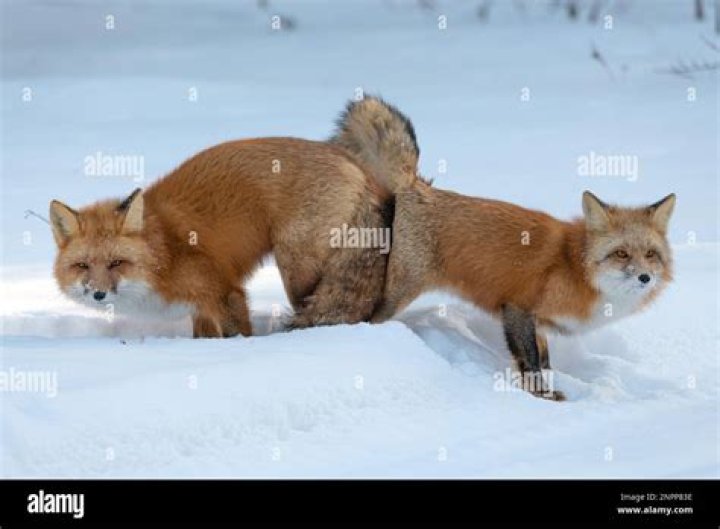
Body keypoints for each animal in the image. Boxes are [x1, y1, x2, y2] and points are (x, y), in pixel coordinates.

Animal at [49, 99, 418, 338]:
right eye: (82, 266)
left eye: (117, 263)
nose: (98, 294)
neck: (164, 252)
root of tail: (358, 168)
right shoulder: (200, 309)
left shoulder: (224, 293)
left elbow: (236, 333)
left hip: (296, 266)